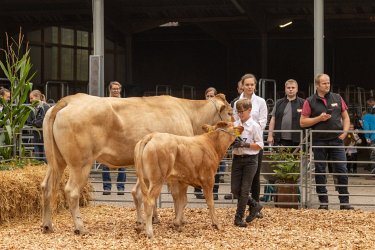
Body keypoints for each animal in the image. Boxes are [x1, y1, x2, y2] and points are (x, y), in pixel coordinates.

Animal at [40, 92, 232, 234]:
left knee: (46, 187)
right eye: (230, 112)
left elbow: (140, 193)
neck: (189, 114)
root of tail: (68, 100)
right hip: (80, 163)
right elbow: (178, 196)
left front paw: (149, 219)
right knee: (71, 191)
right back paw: (80, 228)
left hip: (56, 161)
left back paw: (47, 225)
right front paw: (178, 220)